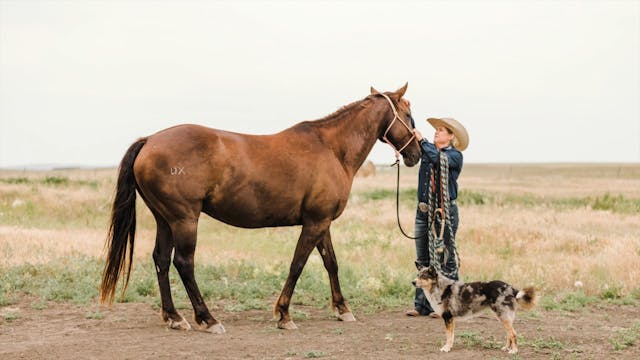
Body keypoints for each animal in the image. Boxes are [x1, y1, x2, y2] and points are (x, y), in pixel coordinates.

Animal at [100, 83, 422, 332]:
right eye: (408, 115)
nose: (417, 153)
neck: (331, 149)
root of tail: (149, 141)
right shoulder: (315, 223)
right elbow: (297, 264)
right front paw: (284, 314)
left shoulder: (322, 222)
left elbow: (331, 263)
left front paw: (342, 309)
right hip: (184, 219)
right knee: (183, 263)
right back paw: (208, 318)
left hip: (165, 220)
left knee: (161, 260)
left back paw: (174, 317)